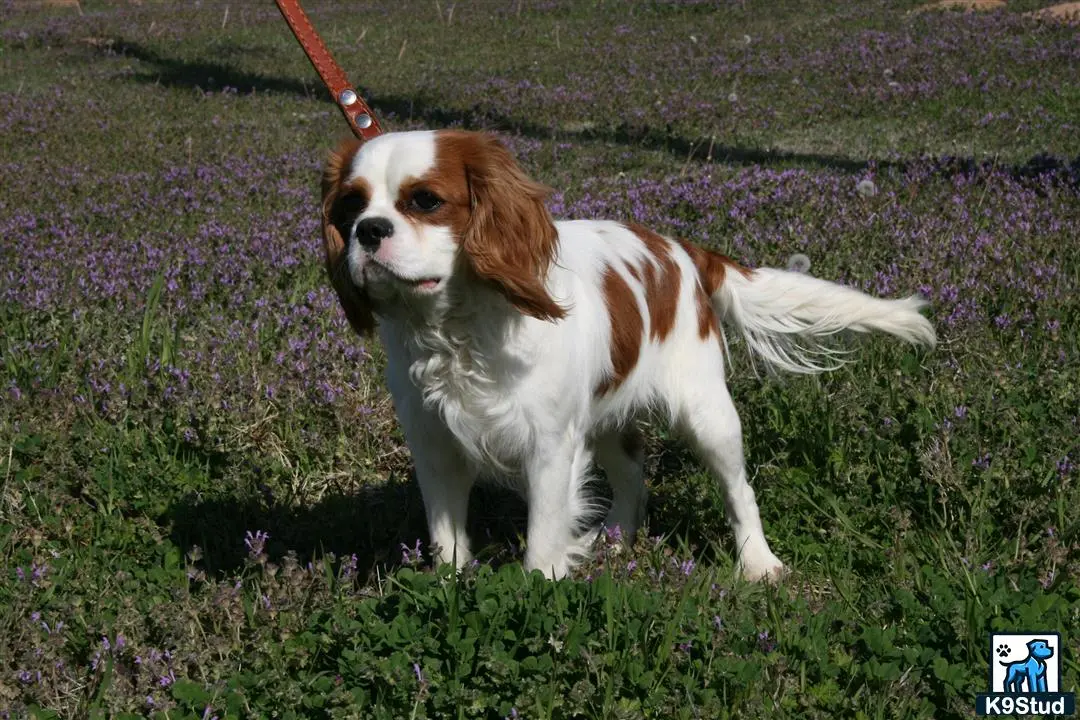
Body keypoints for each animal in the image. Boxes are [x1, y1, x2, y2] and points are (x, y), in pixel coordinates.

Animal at [315, 129, 933, 578]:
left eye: (425, 201)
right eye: (349, 206)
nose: (368, 231)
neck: (460, 327)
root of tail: (686, 251)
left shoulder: (548, 446)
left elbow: (542, 542)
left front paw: (537, 592)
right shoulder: (435, 446)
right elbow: (447, 541)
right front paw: (448, 588)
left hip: (707, 415)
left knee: (740, 491)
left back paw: (759, 565)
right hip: (608, 417)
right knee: (634, 473)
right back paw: (618, 540)